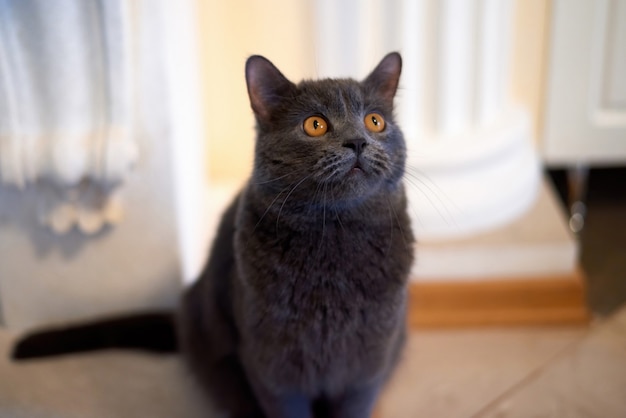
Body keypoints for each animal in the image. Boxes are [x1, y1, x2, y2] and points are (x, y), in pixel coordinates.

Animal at [12, 52, 412, 418]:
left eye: (374, 121)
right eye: (315, 125)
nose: (358, 141)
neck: (336, 242)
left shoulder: (367, 369)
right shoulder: (272, 371)